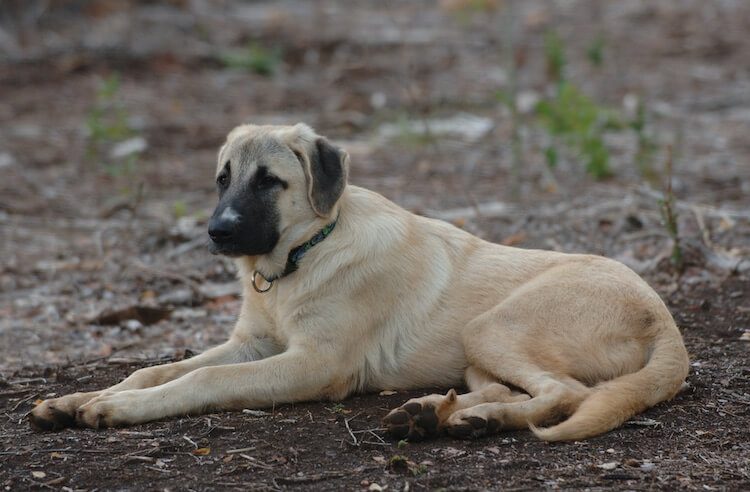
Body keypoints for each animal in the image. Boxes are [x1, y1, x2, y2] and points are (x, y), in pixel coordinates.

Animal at [29, 124, 692, 442]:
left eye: (268, 181)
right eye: (222, 178)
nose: (217, 232)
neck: (300, 260)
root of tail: (665, 320)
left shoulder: (315, 364)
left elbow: (202, 380)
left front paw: (114, 408)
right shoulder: (254, 343)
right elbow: (157, 369)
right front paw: (77, 399)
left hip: (492, 327)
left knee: (565, 394)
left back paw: (458, 419)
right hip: (478, 351)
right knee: (519, 392)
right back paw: (440, 414)